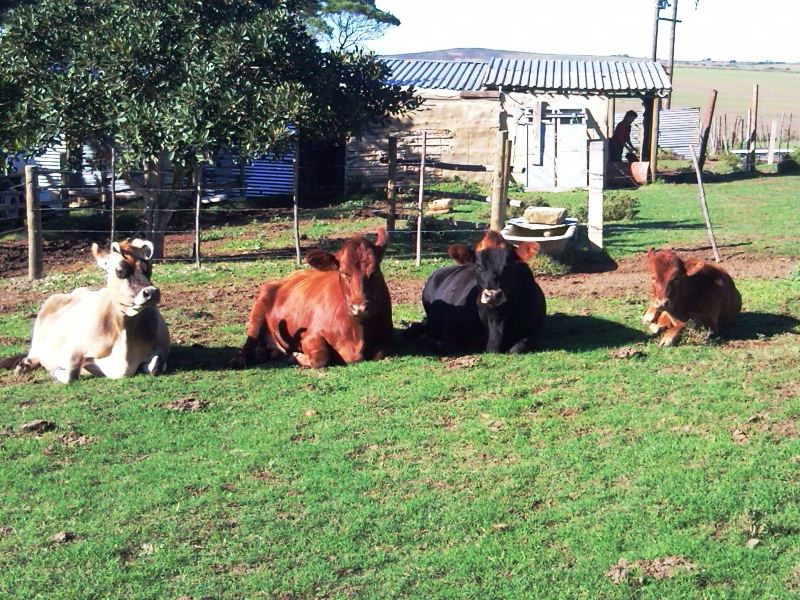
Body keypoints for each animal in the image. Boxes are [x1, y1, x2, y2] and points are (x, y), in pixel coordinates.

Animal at [12, 238, 170, 382]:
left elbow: (156, 367)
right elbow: (70, 375)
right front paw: (56, 371)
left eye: (148, 267)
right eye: (120, 270)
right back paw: (24, 365)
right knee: (34, 353)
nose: (152, 292)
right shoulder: (74, 349)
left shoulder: (159, 350)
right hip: (38, 337)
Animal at [231, 227, 394, 368]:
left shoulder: (387, 337)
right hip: (258, 312)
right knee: (249, 342)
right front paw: (296, 356)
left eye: (375, 271)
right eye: (343, 272)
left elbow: (381, 352)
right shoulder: (310, 336)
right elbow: (321, 358)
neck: (358, 331)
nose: (359, 308)